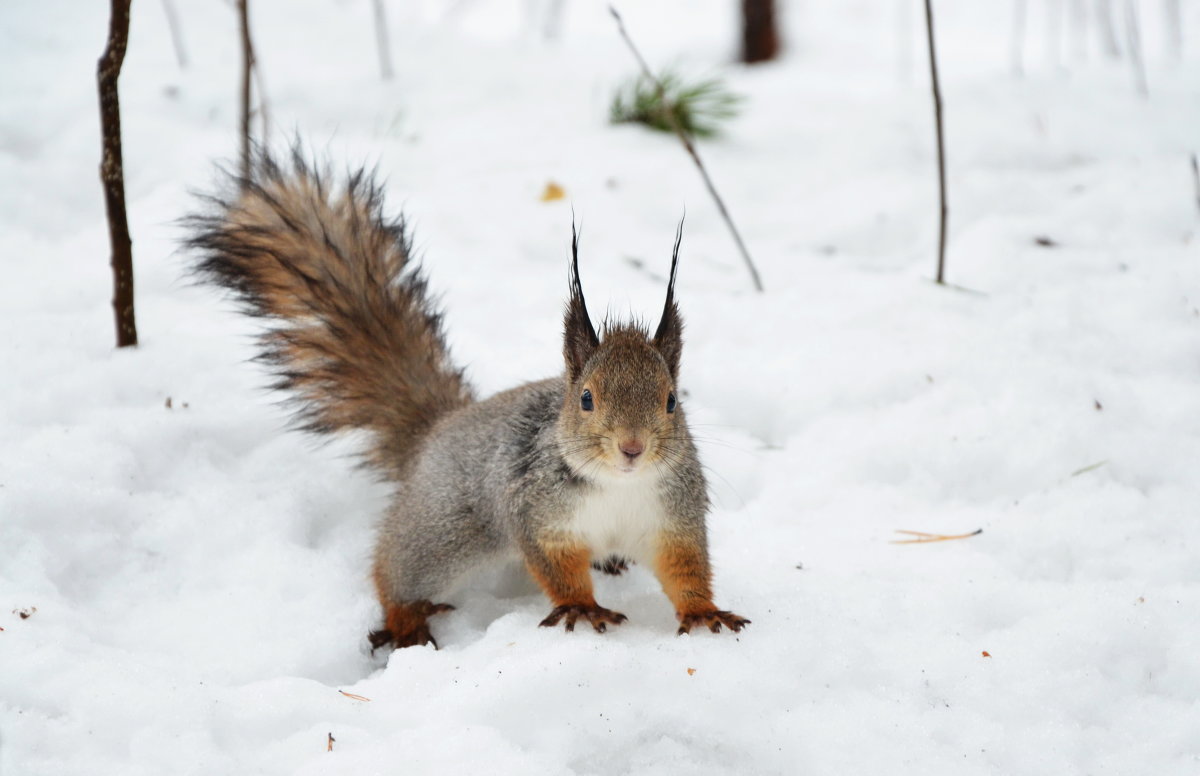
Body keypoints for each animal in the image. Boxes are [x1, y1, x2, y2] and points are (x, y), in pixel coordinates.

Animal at [184, 150, 748, 647]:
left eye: (671, 401)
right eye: (586, 399)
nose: (632, 447)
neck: (618, 486)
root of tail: (436, 430)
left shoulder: (673, 519)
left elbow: (686, 569)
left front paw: (704, 612)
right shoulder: (536, 515)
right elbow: (556, 568)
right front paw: (581, 607)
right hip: (448, 528)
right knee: (397, 567)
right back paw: (405, 619)